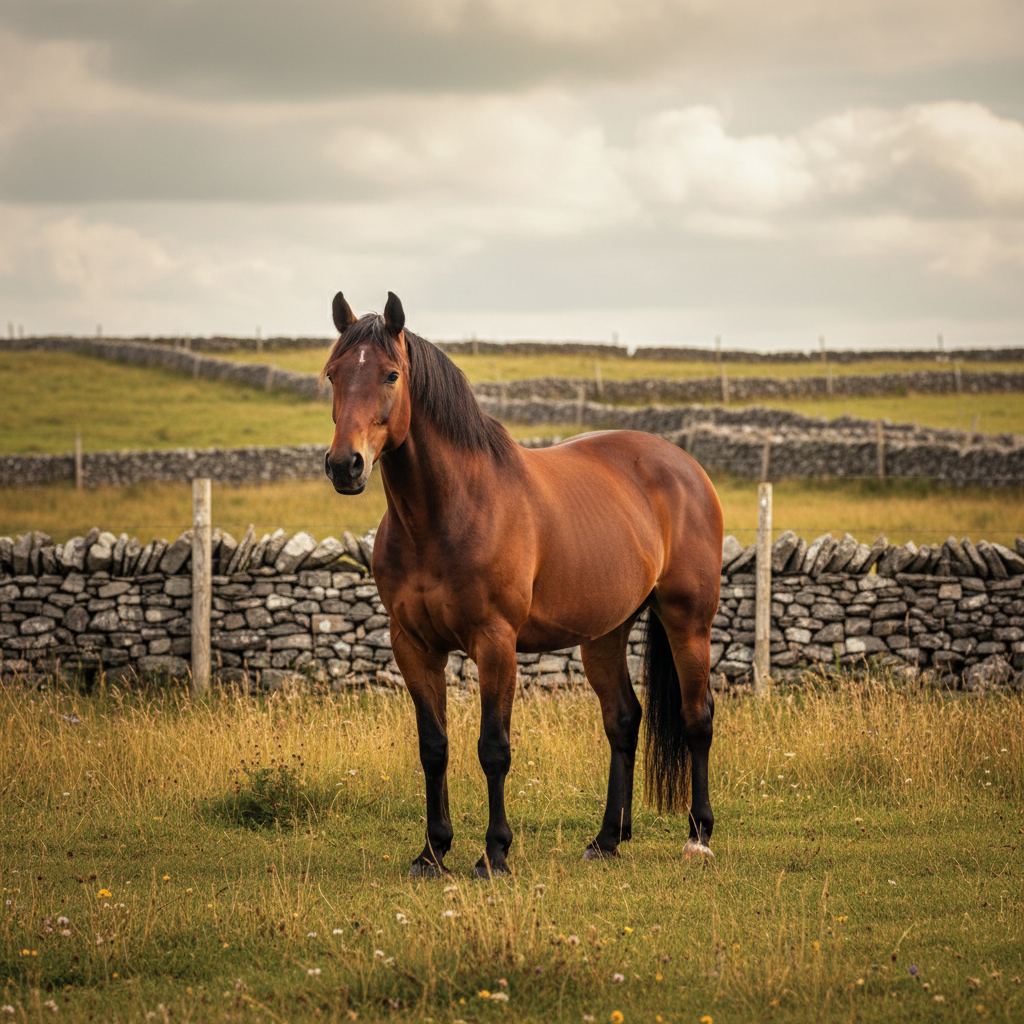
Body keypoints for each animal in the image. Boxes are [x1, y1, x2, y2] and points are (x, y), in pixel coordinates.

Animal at [322, 291, 723, 877]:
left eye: (391, 375)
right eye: (332, 374)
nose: (344, 466)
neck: (446, 513)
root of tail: (686, 467)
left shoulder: (495, 643)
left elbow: (494, 748)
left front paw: (494, 854)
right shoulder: (413, 646)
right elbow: (433, 747)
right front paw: (433, 851)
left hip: (686, 620)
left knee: (697, 718)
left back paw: (698, 836)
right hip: (605, 632)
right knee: (623, 720)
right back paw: (606, 839)